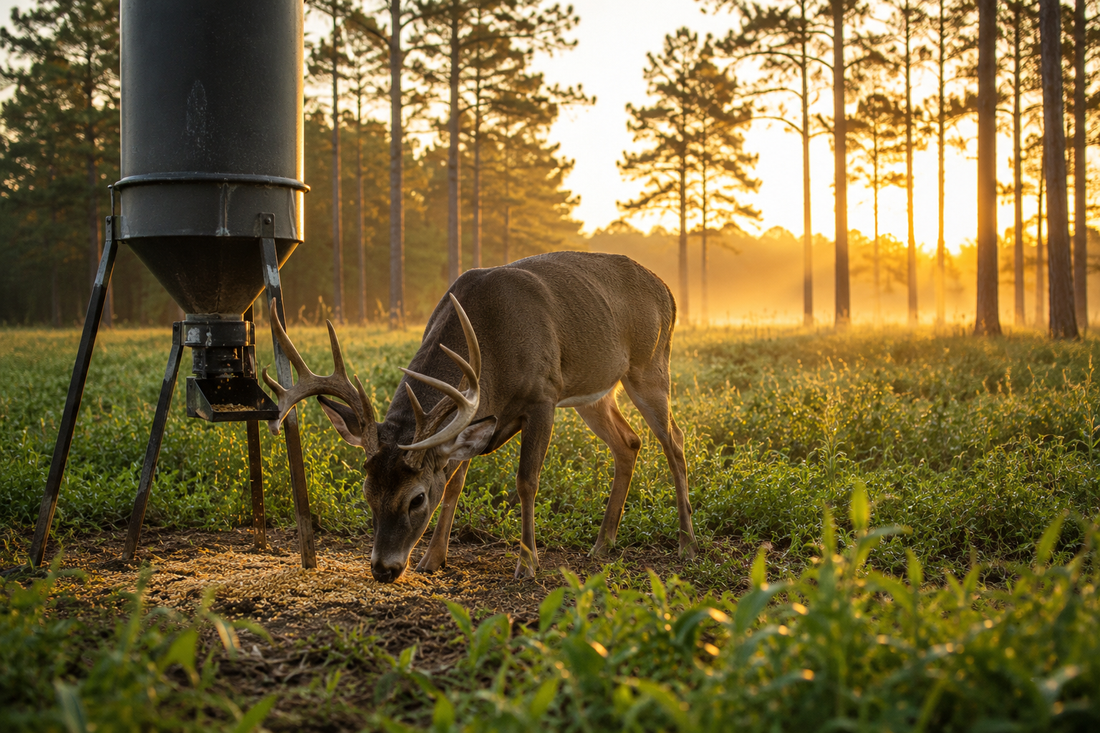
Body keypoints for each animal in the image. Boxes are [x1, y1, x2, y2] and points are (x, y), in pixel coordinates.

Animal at [263, 250, 698, 583]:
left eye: (417, 498)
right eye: (367, 493)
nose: (383, 569)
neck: (492, 351)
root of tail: (669, 292)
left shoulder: (543, 395)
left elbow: (526, 481)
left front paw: (527, 564)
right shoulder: (471, 419)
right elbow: (455, 483)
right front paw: (431, 559)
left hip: (649, 365)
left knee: (674, 441)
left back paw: (687, 543)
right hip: (593, 393)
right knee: (629, 442)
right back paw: (602, 544)